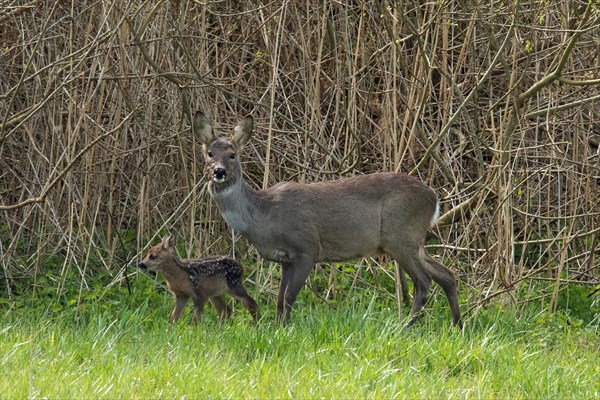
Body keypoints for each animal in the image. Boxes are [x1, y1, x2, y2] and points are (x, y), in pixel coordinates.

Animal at [197, 111, 464, 328]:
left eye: (232, 155)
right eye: (209, 153)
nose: (218, 171)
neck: (263, 217)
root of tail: (434, 198)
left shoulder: (306, 247)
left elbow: (289, 297)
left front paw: (285, 328)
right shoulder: (285, 259)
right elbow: (279, 299)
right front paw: (277, 326)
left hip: (400, 234)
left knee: (424, 281)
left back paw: (406, 326)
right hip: (413, 240)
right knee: (446, 275)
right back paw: (456, 326)